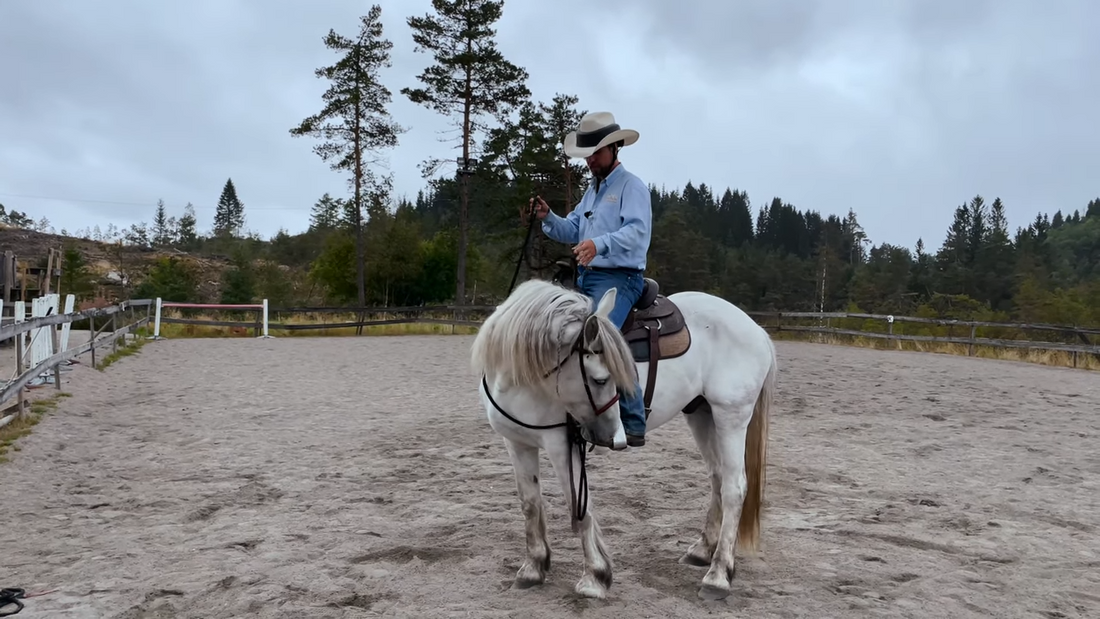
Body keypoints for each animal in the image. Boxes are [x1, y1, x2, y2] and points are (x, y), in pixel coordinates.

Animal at [468, 279, 778, 602]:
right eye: (601, 379)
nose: (612, 436)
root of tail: (756, 328)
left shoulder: (560, 444)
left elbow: (580, 508)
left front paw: (595, 576)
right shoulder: (517, 443)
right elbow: (530, 504)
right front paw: (532, 569)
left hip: (731, 416)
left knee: (734, 488)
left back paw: (718, 576)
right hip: (702, 415)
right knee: (717, 478)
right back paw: (703, 551)